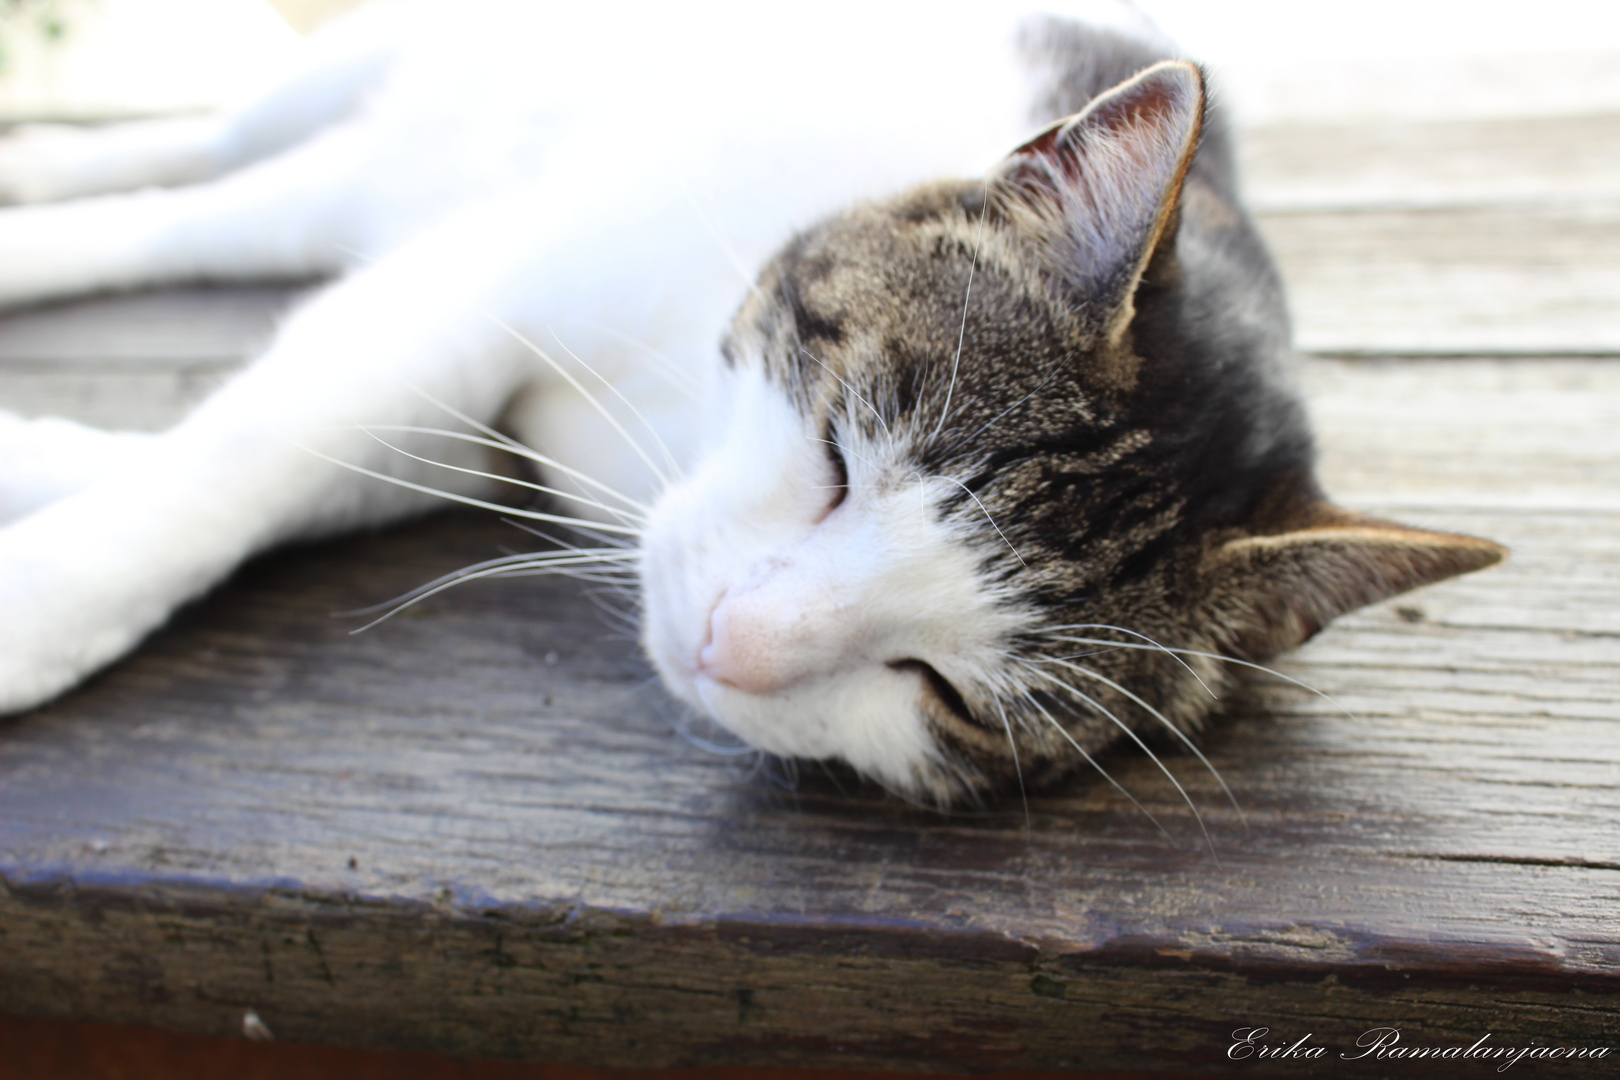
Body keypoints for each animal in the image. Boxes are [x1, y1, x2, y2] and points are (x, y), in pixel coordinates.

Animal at [0, 0, 1503, 806]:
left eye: (948, 693)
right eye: (839, 455)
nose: (730, 644)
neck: (666, 435)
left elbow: (337, 457)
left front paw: (45, 462)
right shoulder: (479, 282)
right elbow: (249, 456)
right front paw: (43, 605)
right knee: (206, 170)